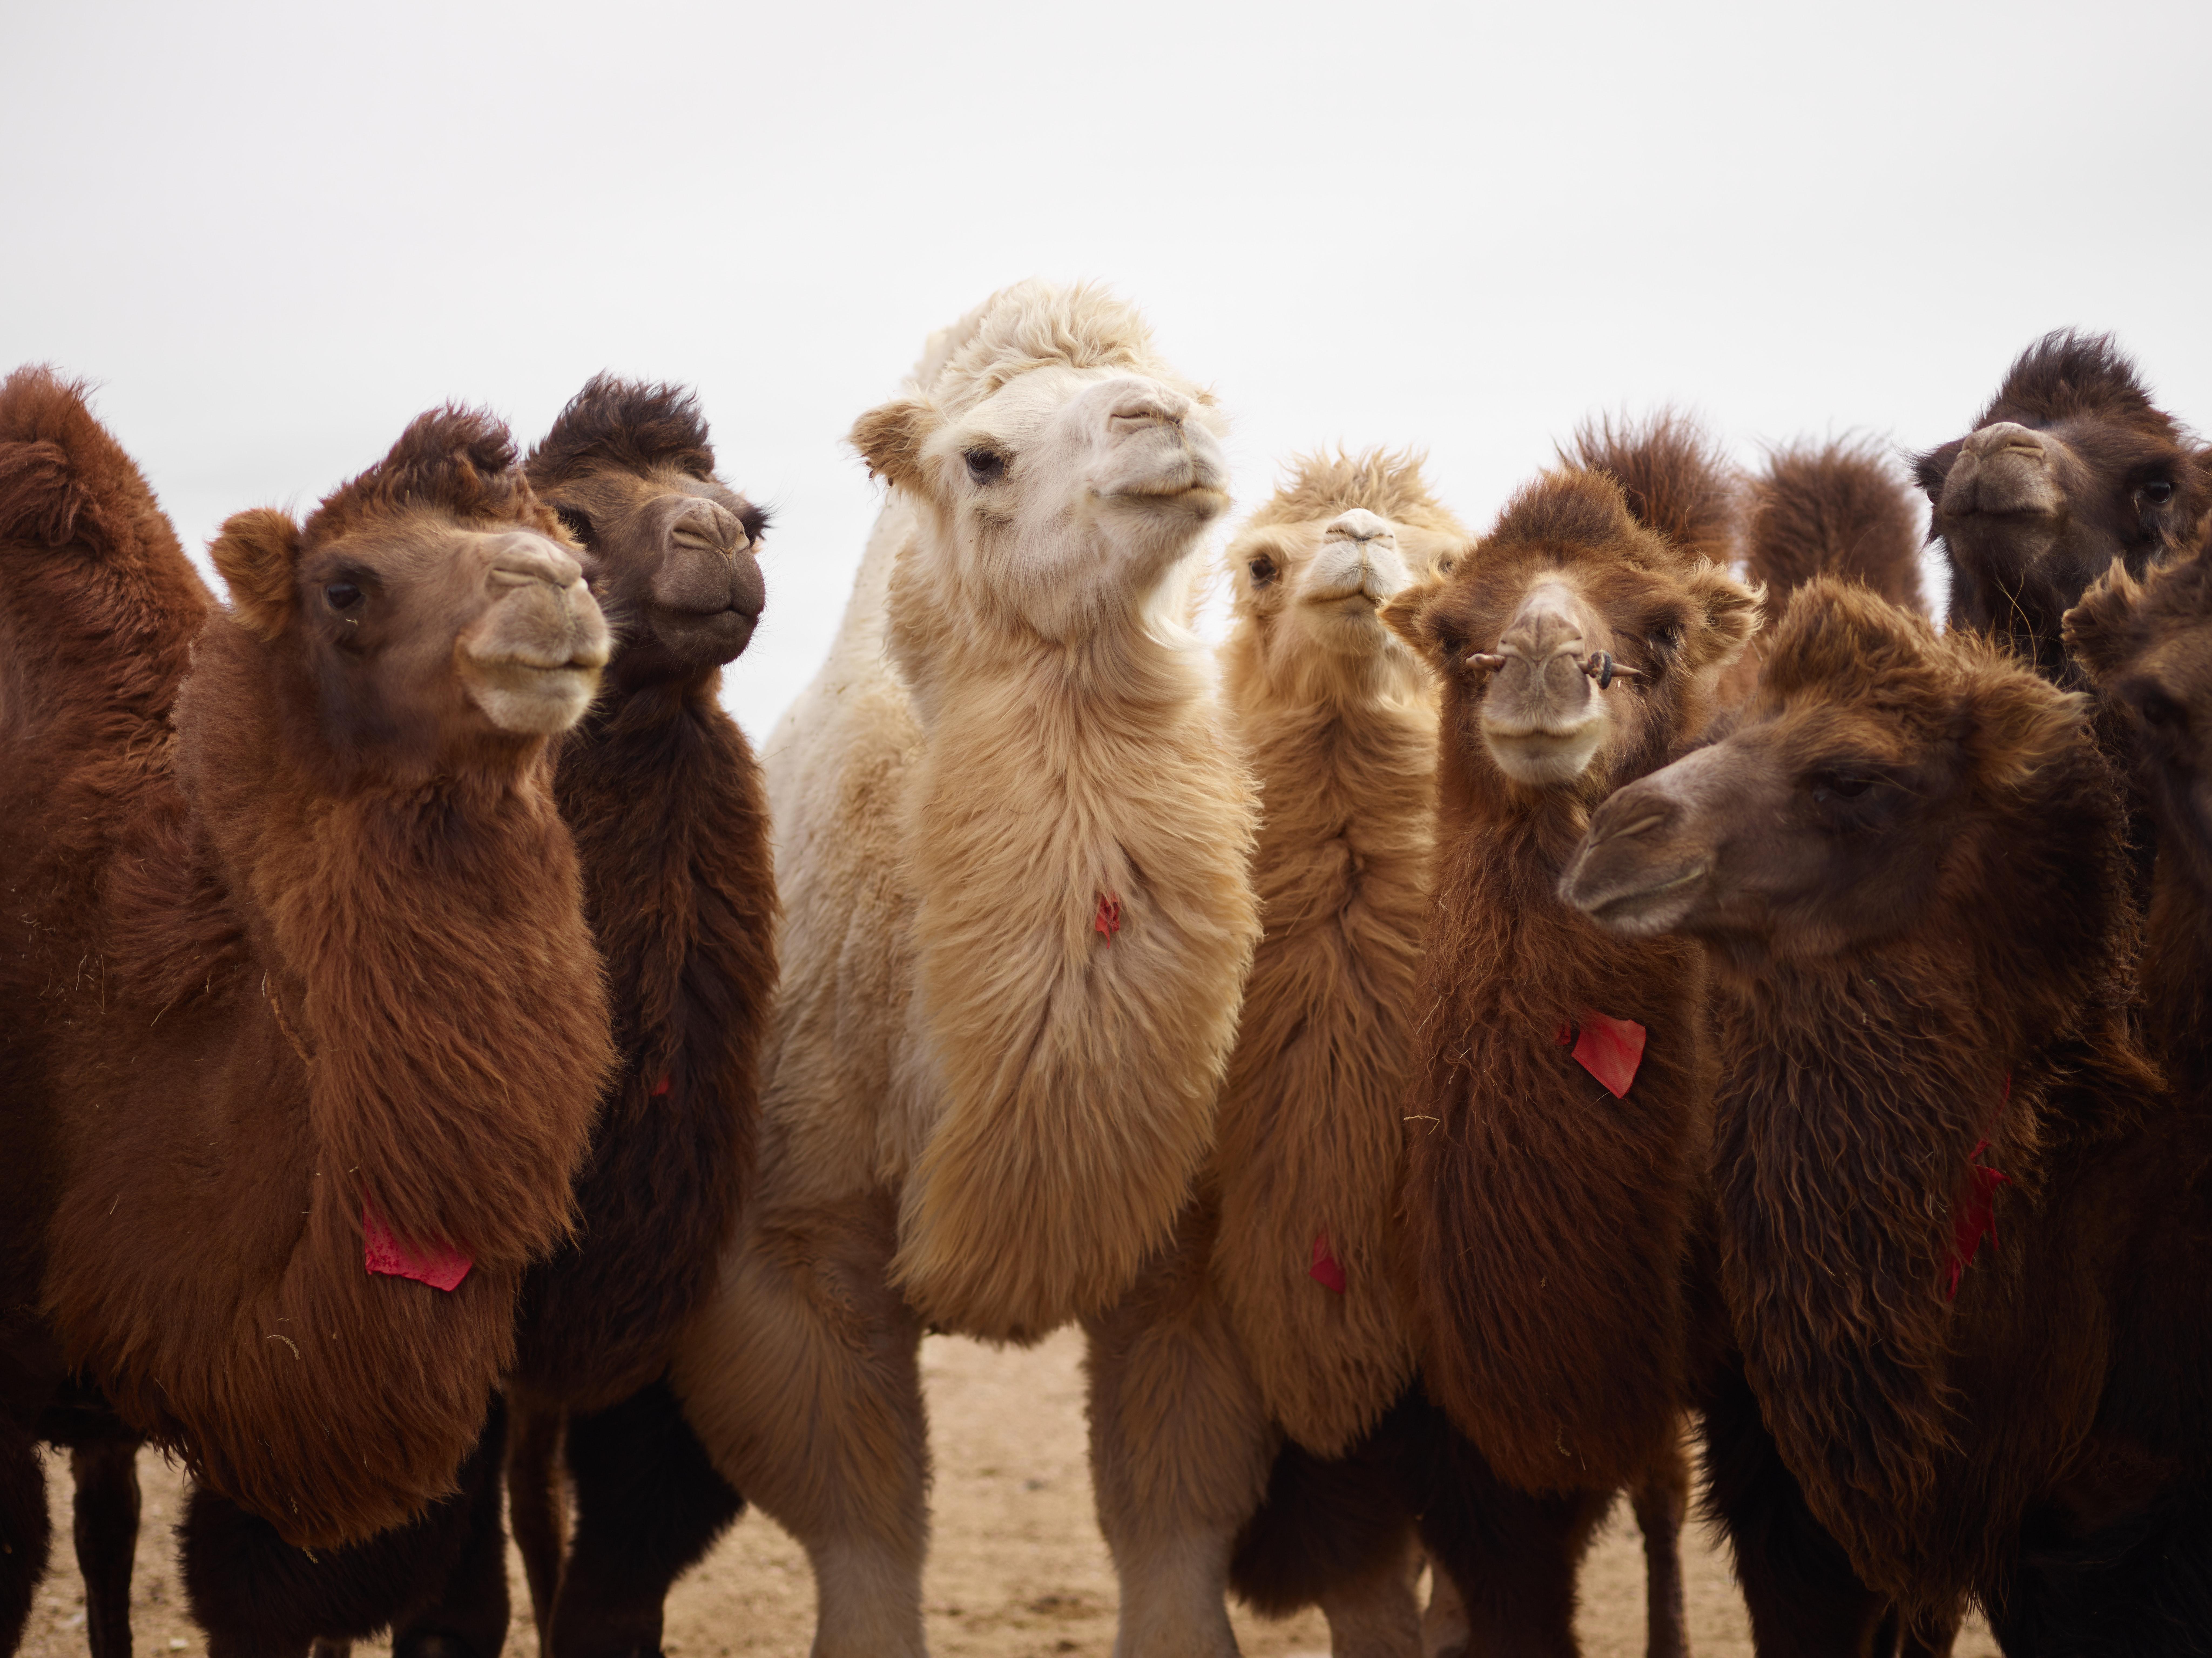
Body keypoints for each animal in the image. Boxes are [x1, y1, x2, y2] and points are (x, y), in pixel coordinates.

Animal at [149, 377, 778, 1658]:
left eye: (752, 515)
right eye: (574, 519)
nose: (717, 541)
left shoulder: (640, 1327)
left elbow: (612, 1576)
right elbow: (447, 1594)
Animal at [670, 282, 1260, 1658]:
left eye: (1195, 395)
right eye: (981, 456)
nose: (1166, 422)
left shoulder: (1187, 1249)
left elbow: (1173, 1506)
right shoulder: (788, 1242)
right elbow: (861, 1511)